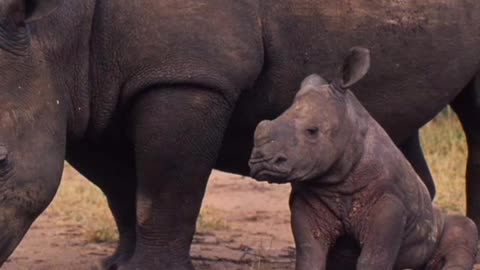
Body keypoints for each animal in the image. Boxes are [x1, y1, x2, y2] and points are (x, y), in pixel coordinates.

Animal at [249, 47, 478, 268]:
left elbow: (374, 258)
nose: (261, 162)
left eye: (312, 131)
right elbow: (309, 256)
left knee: (464, 226)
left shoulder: (388, 202)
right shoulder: (307, 202)